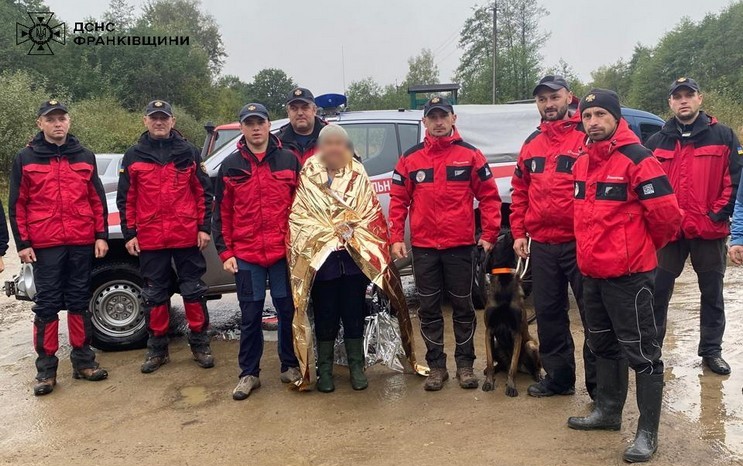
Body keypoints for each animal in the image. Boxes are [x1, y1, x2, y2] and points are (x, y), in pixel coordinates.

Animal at [482, 248, 540, 396]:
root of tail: (522, 367)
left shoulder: (516, 333)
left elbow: (512, 367)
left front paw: (511, 386)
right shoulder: (489, 331)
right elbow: (489, 362)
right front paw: (488, 382)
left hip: (530, 345)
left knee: (531, 366)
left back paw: (537, 376)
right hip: (497, 345)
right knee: (501, 365)